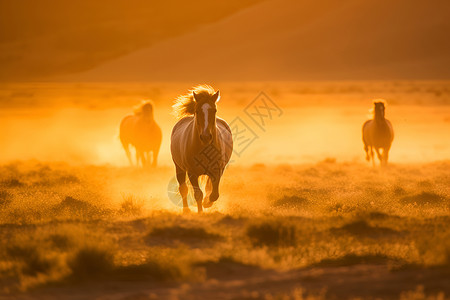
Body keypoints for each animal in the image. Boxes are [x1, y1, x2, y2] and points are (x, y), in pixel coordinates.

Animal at [169, 84, 232, 213]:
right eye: (197, 111)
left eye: (214, 110)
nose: (206, 136)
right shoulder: (192, 173)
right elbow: (198, 194)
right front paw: (200, 212)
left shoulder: (217, 170)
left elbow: (214, 193)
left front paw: (207, 203)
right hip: (179, 168)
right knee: (183, 189)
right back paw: (186, 210)